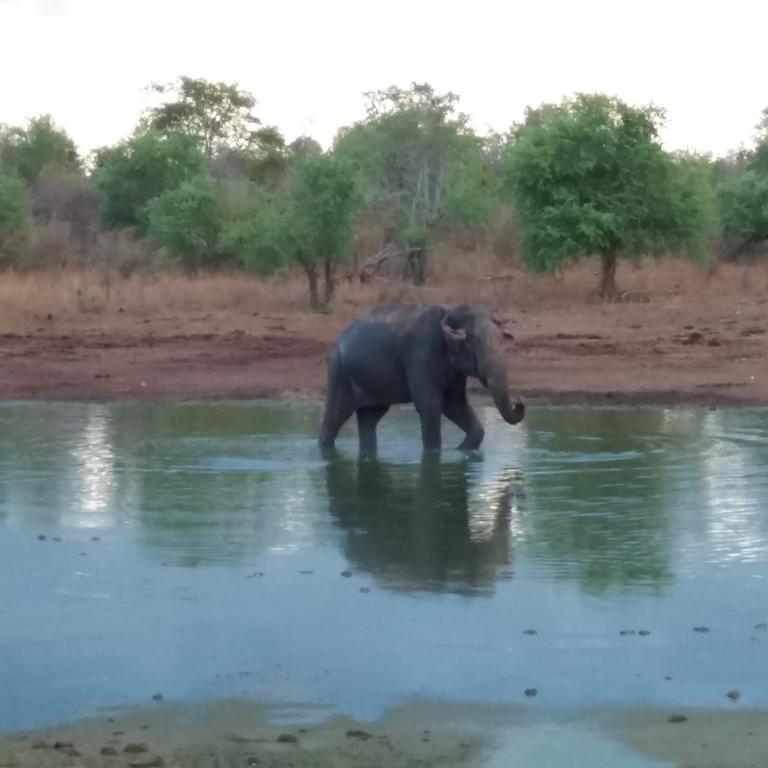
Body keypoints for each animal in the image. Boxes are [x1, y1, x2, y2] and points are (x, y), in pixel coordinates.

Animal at [316, 304, 520, 452]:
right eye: (472, 344)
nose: (519, 402)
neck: (450, 311)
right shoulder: (420, 354)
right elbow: (430, 405)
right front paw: (435, 454)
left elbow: (454, 405)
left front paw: (461, 450)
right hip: (339, 373)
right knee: (336, 416)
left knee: (370, 417)